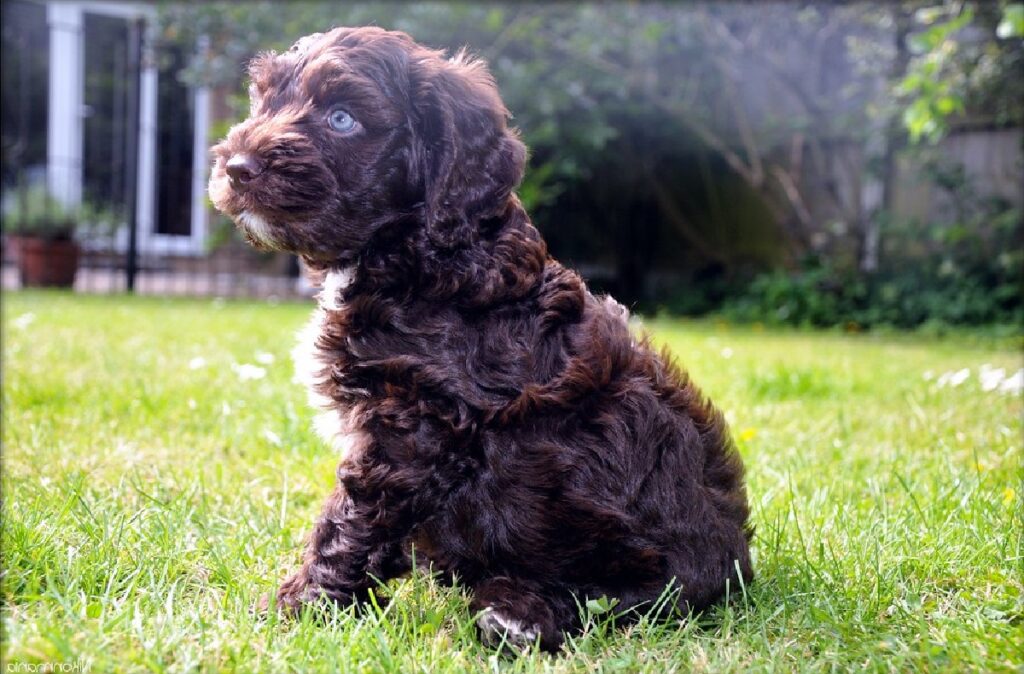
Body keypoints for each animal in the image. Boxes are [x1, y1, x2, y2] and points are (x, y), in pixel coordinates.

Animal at [207, 27, 753, 651]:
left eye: (342, 118)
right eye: (264, 101)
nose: (237, 167)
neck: (419, 252)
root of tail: (738, 568)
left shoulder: (413, 428)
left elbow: (350, 520)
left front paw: (300, 607)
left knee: (616, 601)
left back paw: (515, 613)